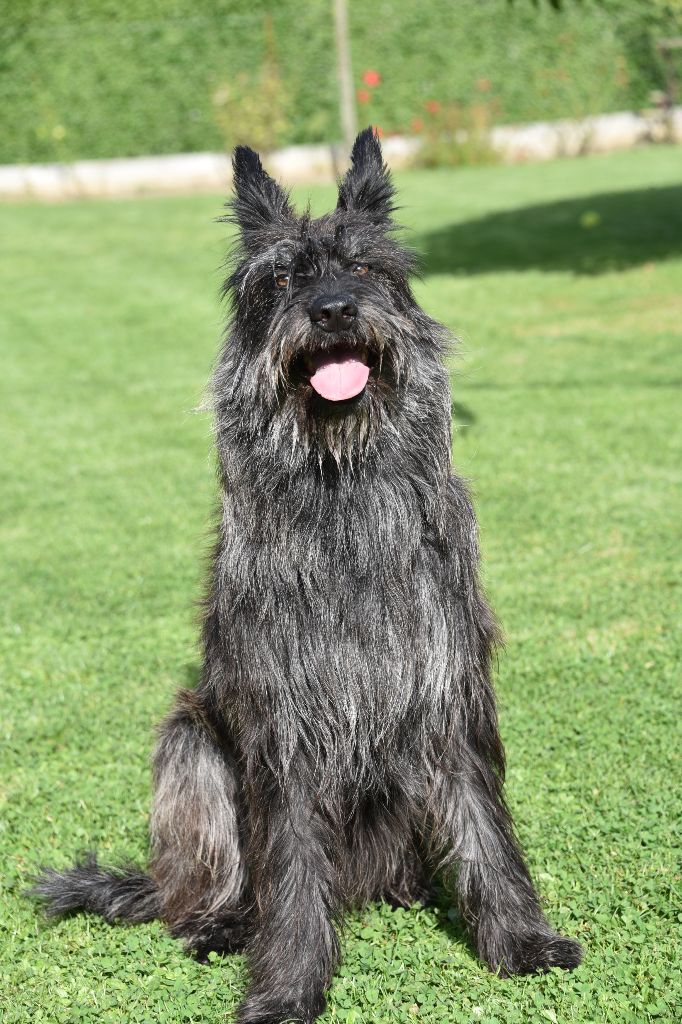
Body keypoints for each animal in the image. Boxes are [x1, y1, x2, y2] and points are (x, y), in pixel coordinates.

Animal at [33, 130, 577, 1024]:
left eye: (361, 267)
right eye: (282, 280)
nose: (332, 311)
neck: (340, 484)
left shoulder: (447, 686)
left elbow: (483, 822)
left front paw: (521, 939)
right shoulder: (283, 720)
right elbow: (287, 865)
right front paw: (288, 985)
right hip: (189, 746)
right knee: (216, 879)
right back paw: (222, 923)